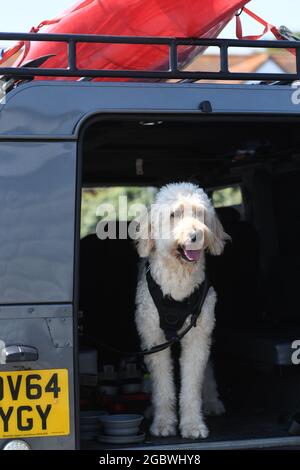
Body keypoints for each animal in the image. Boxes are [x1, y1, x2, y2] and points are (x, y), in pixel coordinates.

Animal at [135, 182, 229, 438]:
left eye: (200, 213)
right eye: (173, 214)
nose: (196, 236)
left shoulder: (197, 337)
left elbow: (192, 386)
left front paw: (192, 425)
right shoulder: (153, 339)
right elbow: (162, 386)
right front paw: (163, 423)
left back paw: (212, 402)